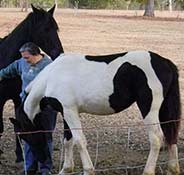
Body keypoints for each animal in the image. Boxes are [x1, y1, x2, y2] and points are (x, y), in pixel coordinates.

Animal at [0, 4, 63, 162]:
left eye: (56, 28)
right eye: (45, 29)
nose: (59, 52)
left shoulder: (17, 98)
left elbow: (18, 126)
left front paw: (19, 154)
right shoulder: (0, 99)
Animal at [11, 50, 181, 174]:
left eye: (24, 135)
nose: (42, 157)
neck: (50, 78)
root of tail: (165, 63)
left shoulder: (70, 112)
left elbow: (79, 141)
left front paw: (88, 170)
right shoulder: (66, 112)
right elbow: (68, 140)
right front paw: (66, 169)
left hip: (149, 109)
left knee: (157, 138)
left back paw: (148, 171)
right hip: (164, 109)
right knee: (170, 134)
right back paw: (173, 169)